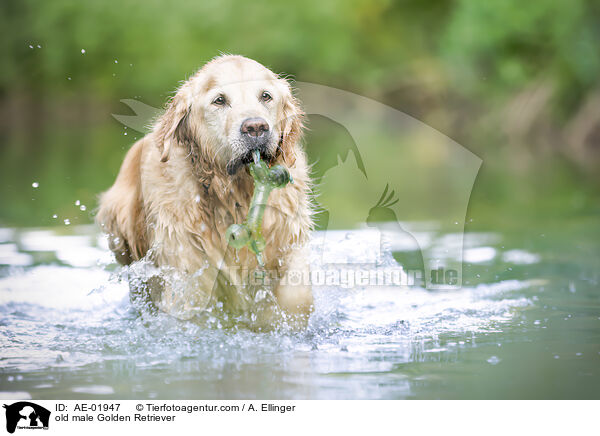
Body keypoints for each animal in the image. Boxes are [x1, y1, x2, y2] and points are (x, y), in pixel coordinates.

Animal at [97, 55, 314, 328]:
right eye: (219, 100)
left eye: (266, 96)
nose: (255, 128)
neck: (234, 195)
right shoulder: (186, 265)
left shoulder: (289, 235)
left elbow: (297, 293)